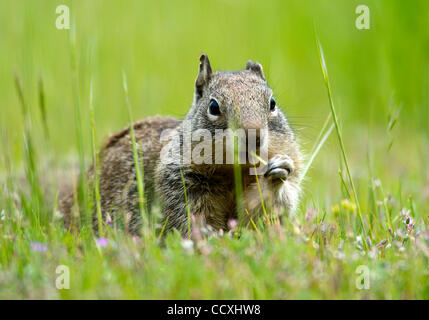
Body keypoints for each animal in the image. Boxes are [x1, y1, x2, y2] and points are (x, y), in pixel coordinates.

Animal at [59, 54, 300, 235]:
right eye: (213, 107)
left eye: (272, 103)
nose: (253, 136)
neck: (234, 170)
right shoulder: (181, 184)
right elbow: (192, 218)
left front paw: (279, 169)